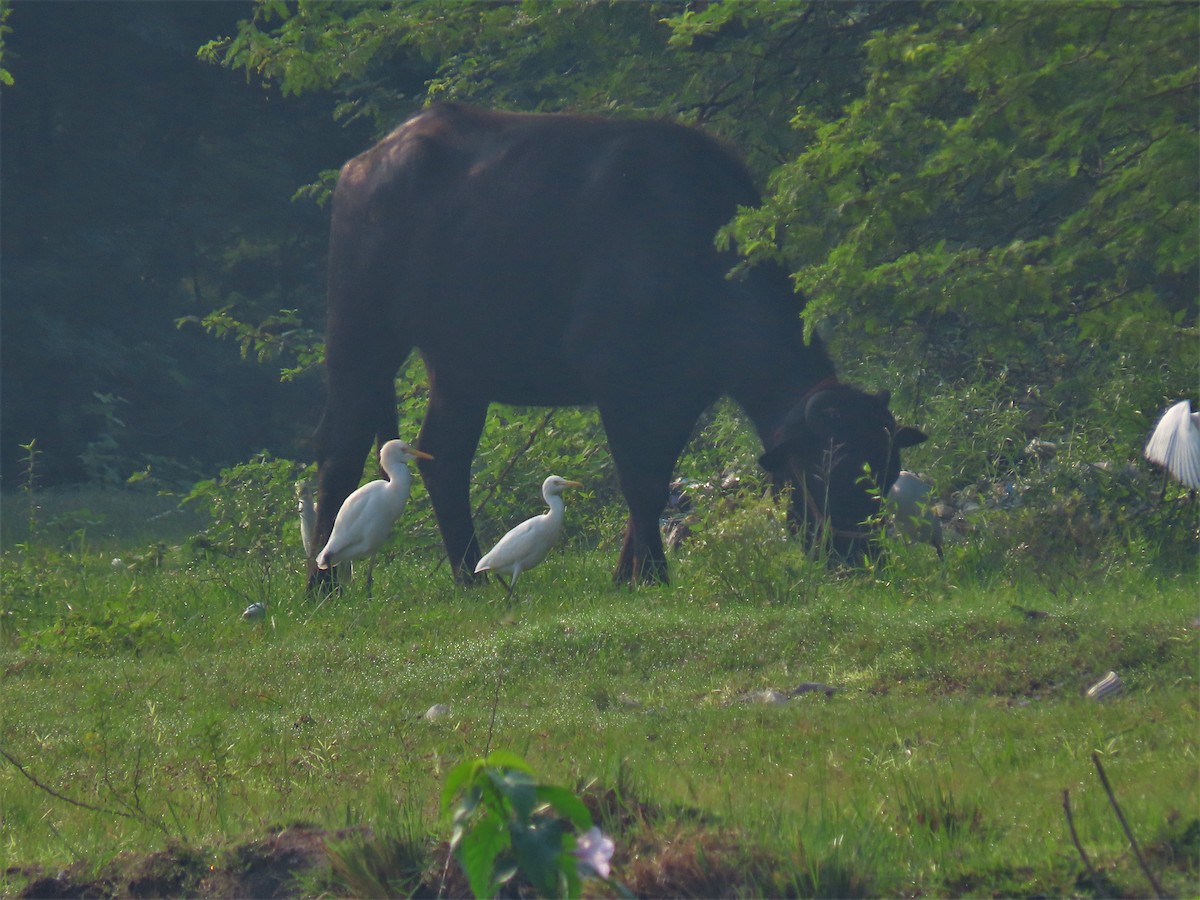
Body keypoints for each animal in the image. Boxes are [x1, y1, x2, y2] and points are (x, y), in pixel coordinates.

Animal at [312, 102, 926, 588]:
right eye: (829, 472)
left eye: (886, 470)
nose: (862, 556)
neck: (695, 254)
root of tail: (364, 165)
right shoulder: (622, 383)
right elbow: (641, 479)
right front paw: (649, 573)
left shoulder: (684, 394)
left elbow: (655, 479)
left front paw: (629, 571)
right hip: (362, 331)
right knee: (340, 446)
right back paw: (323, 584)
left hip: (461, 365)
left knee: (446, 457)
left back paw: (471, 577)